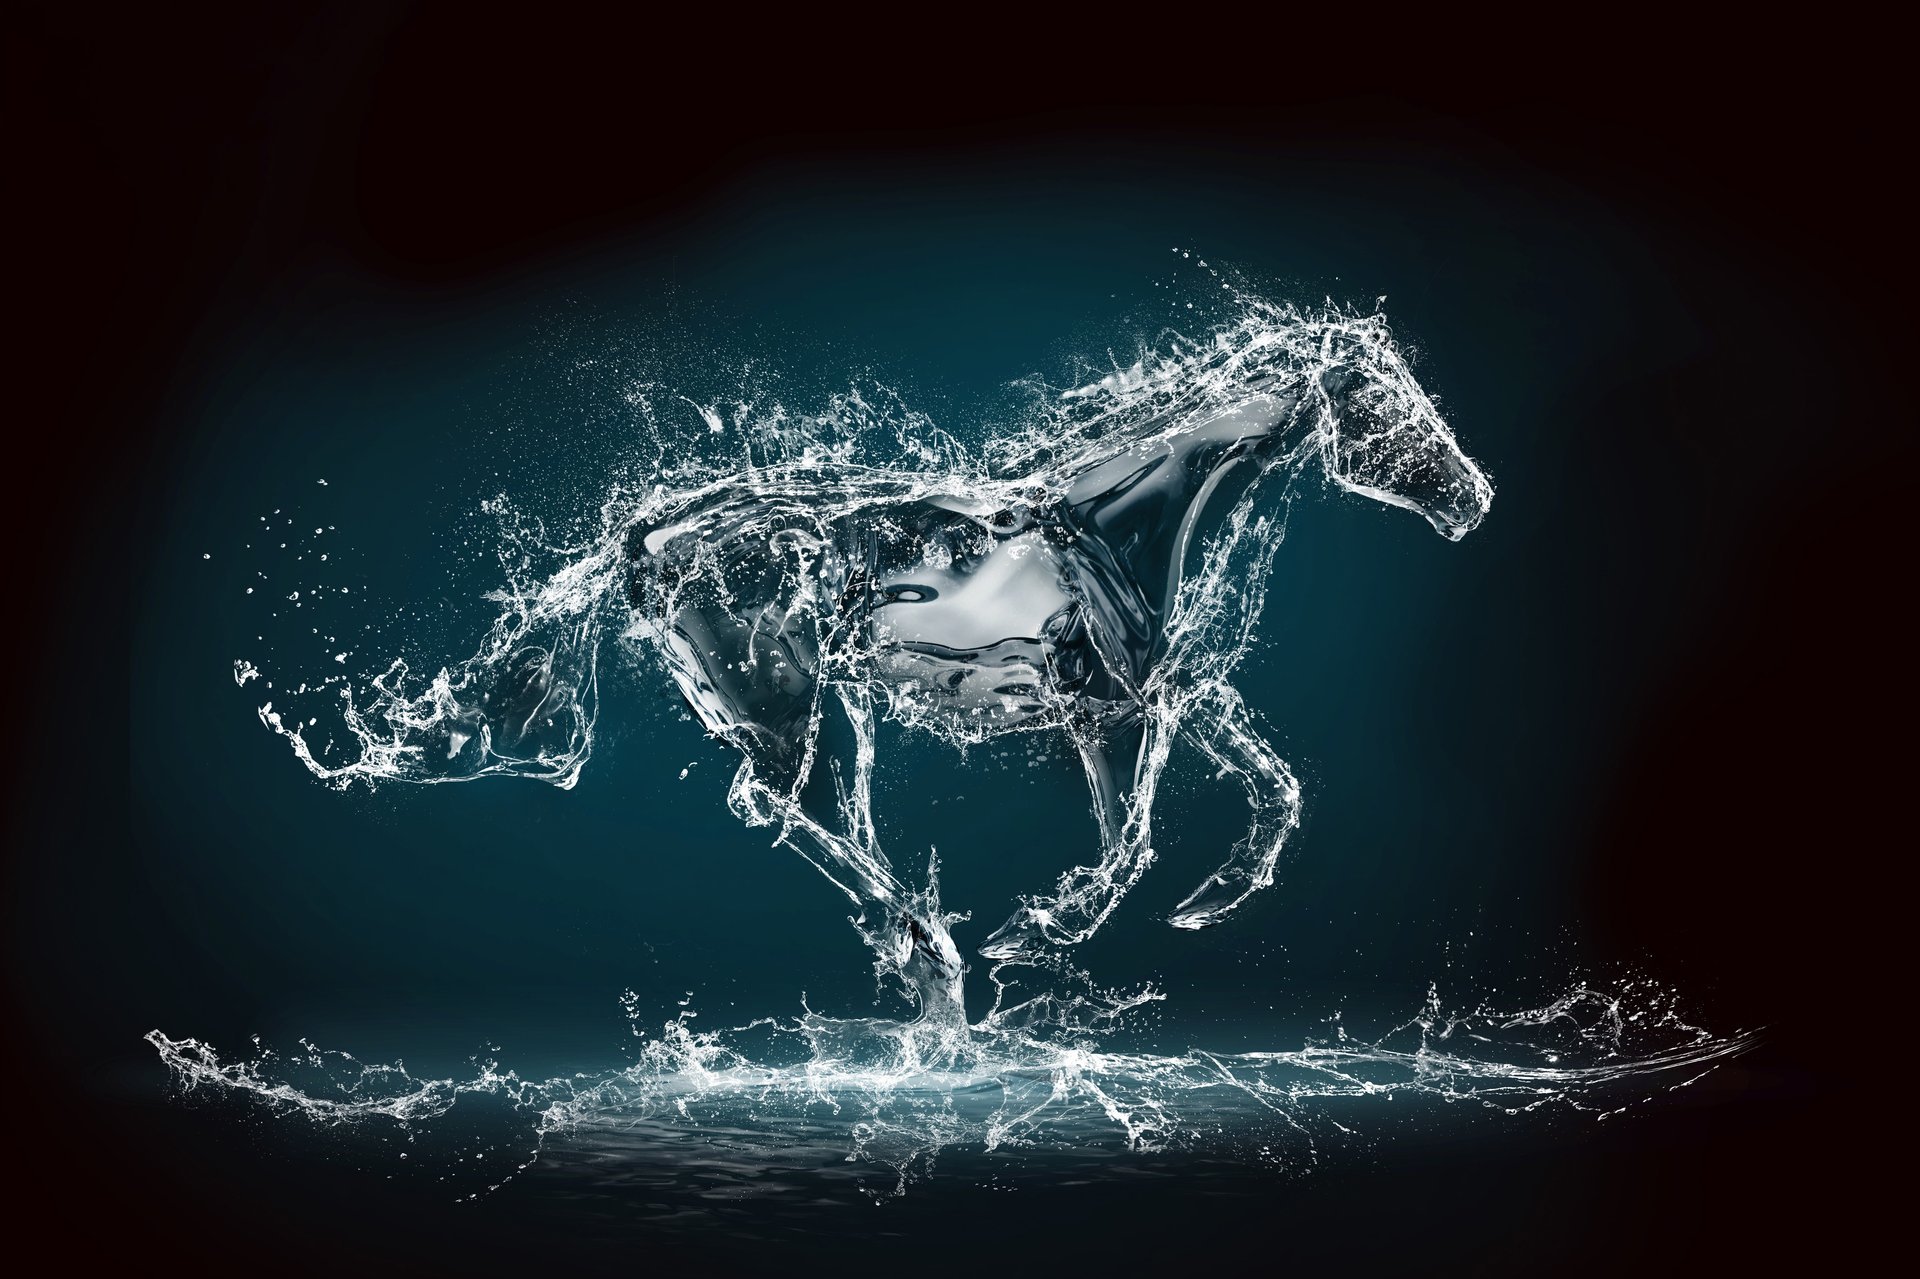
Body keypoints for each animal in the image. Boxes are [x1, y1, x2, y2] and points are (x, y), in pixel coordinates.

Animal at [616, 312, 1493, 1017]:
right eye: (1385, 400)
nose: (1474, 499)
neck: (1114, 518)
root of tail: (649, 545)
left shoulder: (1163, 689)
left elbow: (1275, 786)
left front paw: (1211, 899)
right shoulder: (1103, 706)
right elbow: (1131, 836)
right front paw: (1039, 928)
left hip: (833, 714)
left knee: (819, 809)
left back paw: (920, 952)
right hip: (782, 711)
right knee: (767, 800)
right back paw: (922, 943)